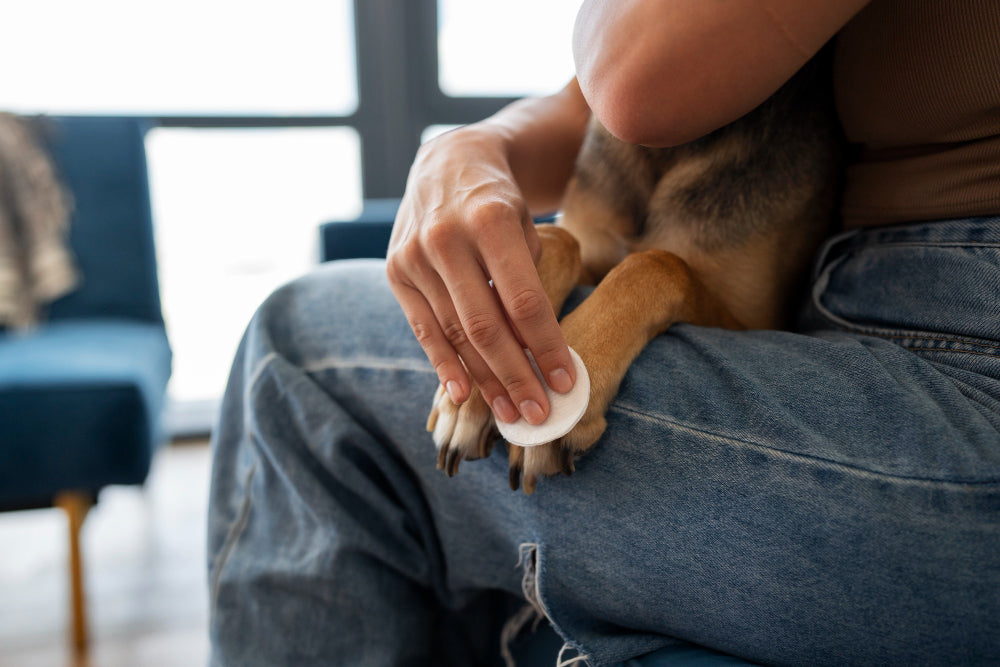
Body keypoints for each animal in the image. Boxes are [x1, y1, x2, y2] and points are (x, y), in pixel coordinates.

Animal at [426, 52, 840, 494]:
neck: (668, 148)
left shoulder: (757, 319)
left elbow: (658, 261)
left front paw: (573, 379)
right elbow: (557, 238)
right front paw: (474, 394)